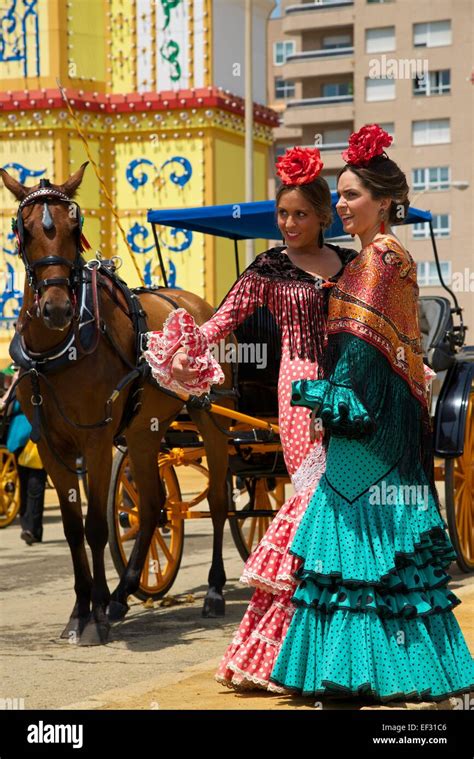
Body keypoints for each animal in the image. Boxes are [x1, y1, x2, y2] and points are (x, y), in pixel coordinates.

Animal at [0, 162, 237, 648]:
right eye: (24, 229)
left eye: (74, 228)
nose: (55, 308)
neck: (61, 346)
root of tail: (197, 302)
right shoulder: (50, 446)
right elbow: (73, 527)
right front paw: (82, 610)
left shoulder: (95, 441)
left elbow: (95, 525)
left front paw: (95, 619)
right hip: (146, 432)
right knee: (152, 505)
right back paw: (123, 594)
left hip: (208, 414)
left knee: (220, 497)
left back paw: (214, 590)